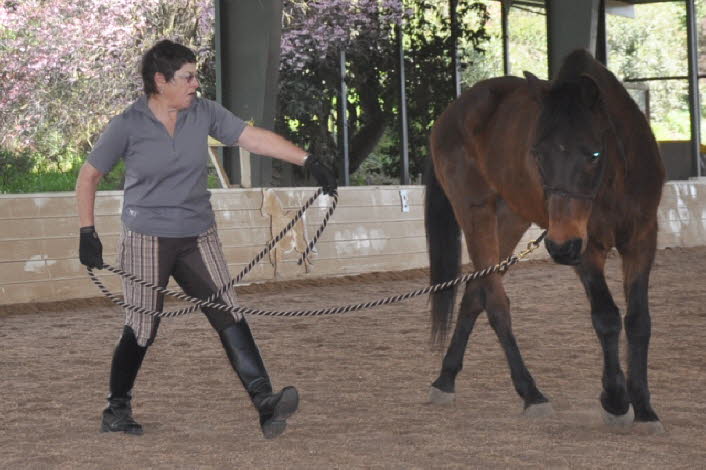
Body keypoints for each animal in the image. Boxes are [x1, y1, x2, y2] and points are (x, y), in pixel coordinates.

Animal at [424, 48, 664, 434]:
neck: (613, 181)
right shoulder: (587, 248)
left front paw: (644, 409)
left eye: (594, 154)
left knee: (476, 294)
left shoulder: (642, 240)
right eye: (537, 153)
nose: (561, 246)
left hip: (511, 219)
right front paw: (615, 400)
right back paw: (531, 393)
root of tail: (453, 111)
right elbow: (606, 317)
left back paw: (445, 380)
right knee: (496, 303)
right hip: (475, 213)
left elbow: (639, 321)